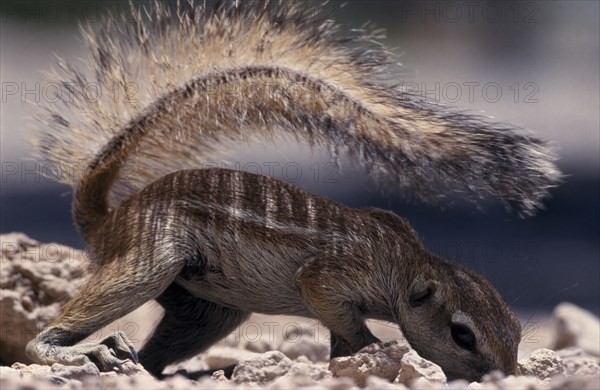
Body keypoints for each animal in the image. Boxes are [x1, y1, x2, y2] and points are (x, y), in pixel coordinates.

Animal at [27, 0, 564, 382]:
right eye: (462, 335)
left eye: (518, 329)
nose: (505, 376)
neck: (403, 259)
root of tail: (111, 216)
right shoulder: (329, 277)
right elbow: (333, 307)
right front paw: (376, 350)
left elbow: (340, 339)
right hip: (149, 260)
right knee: (50, 334)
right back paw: (81, 351)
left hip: (209, 311)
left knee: (162, 350)